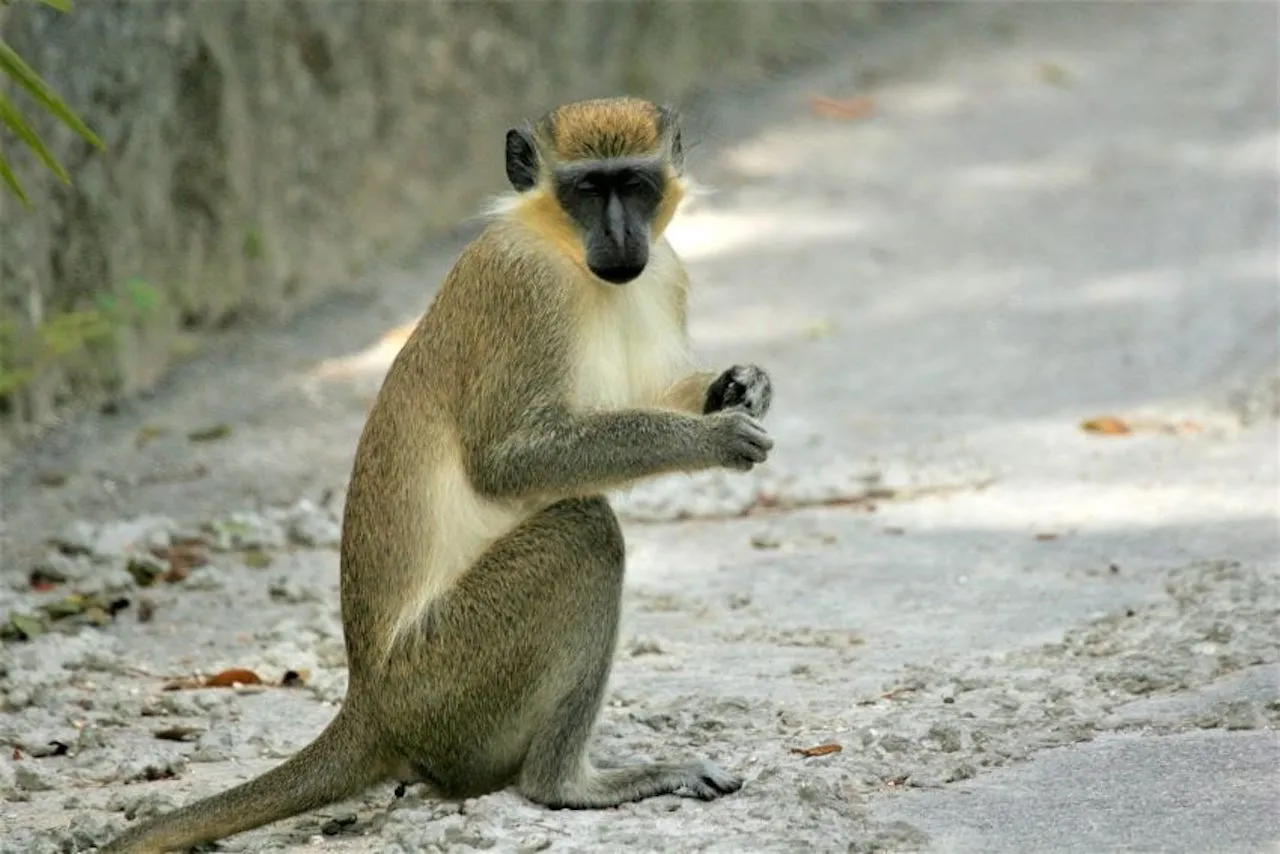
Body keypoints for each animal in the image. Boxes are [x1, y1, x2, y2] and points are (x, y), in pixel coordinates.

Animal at [101, 95, 774, 853]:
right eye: (585, 190)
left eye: (633, 185)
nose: (621, 234)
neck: (567, 254)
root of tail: (370, 703)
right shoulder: (523, 286)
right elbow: (508, 462)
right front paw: (712, 437)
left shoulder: (664, 270)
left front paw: (740, 385)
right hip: (445, 684)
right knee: (584, 530)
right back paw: (566, 784)